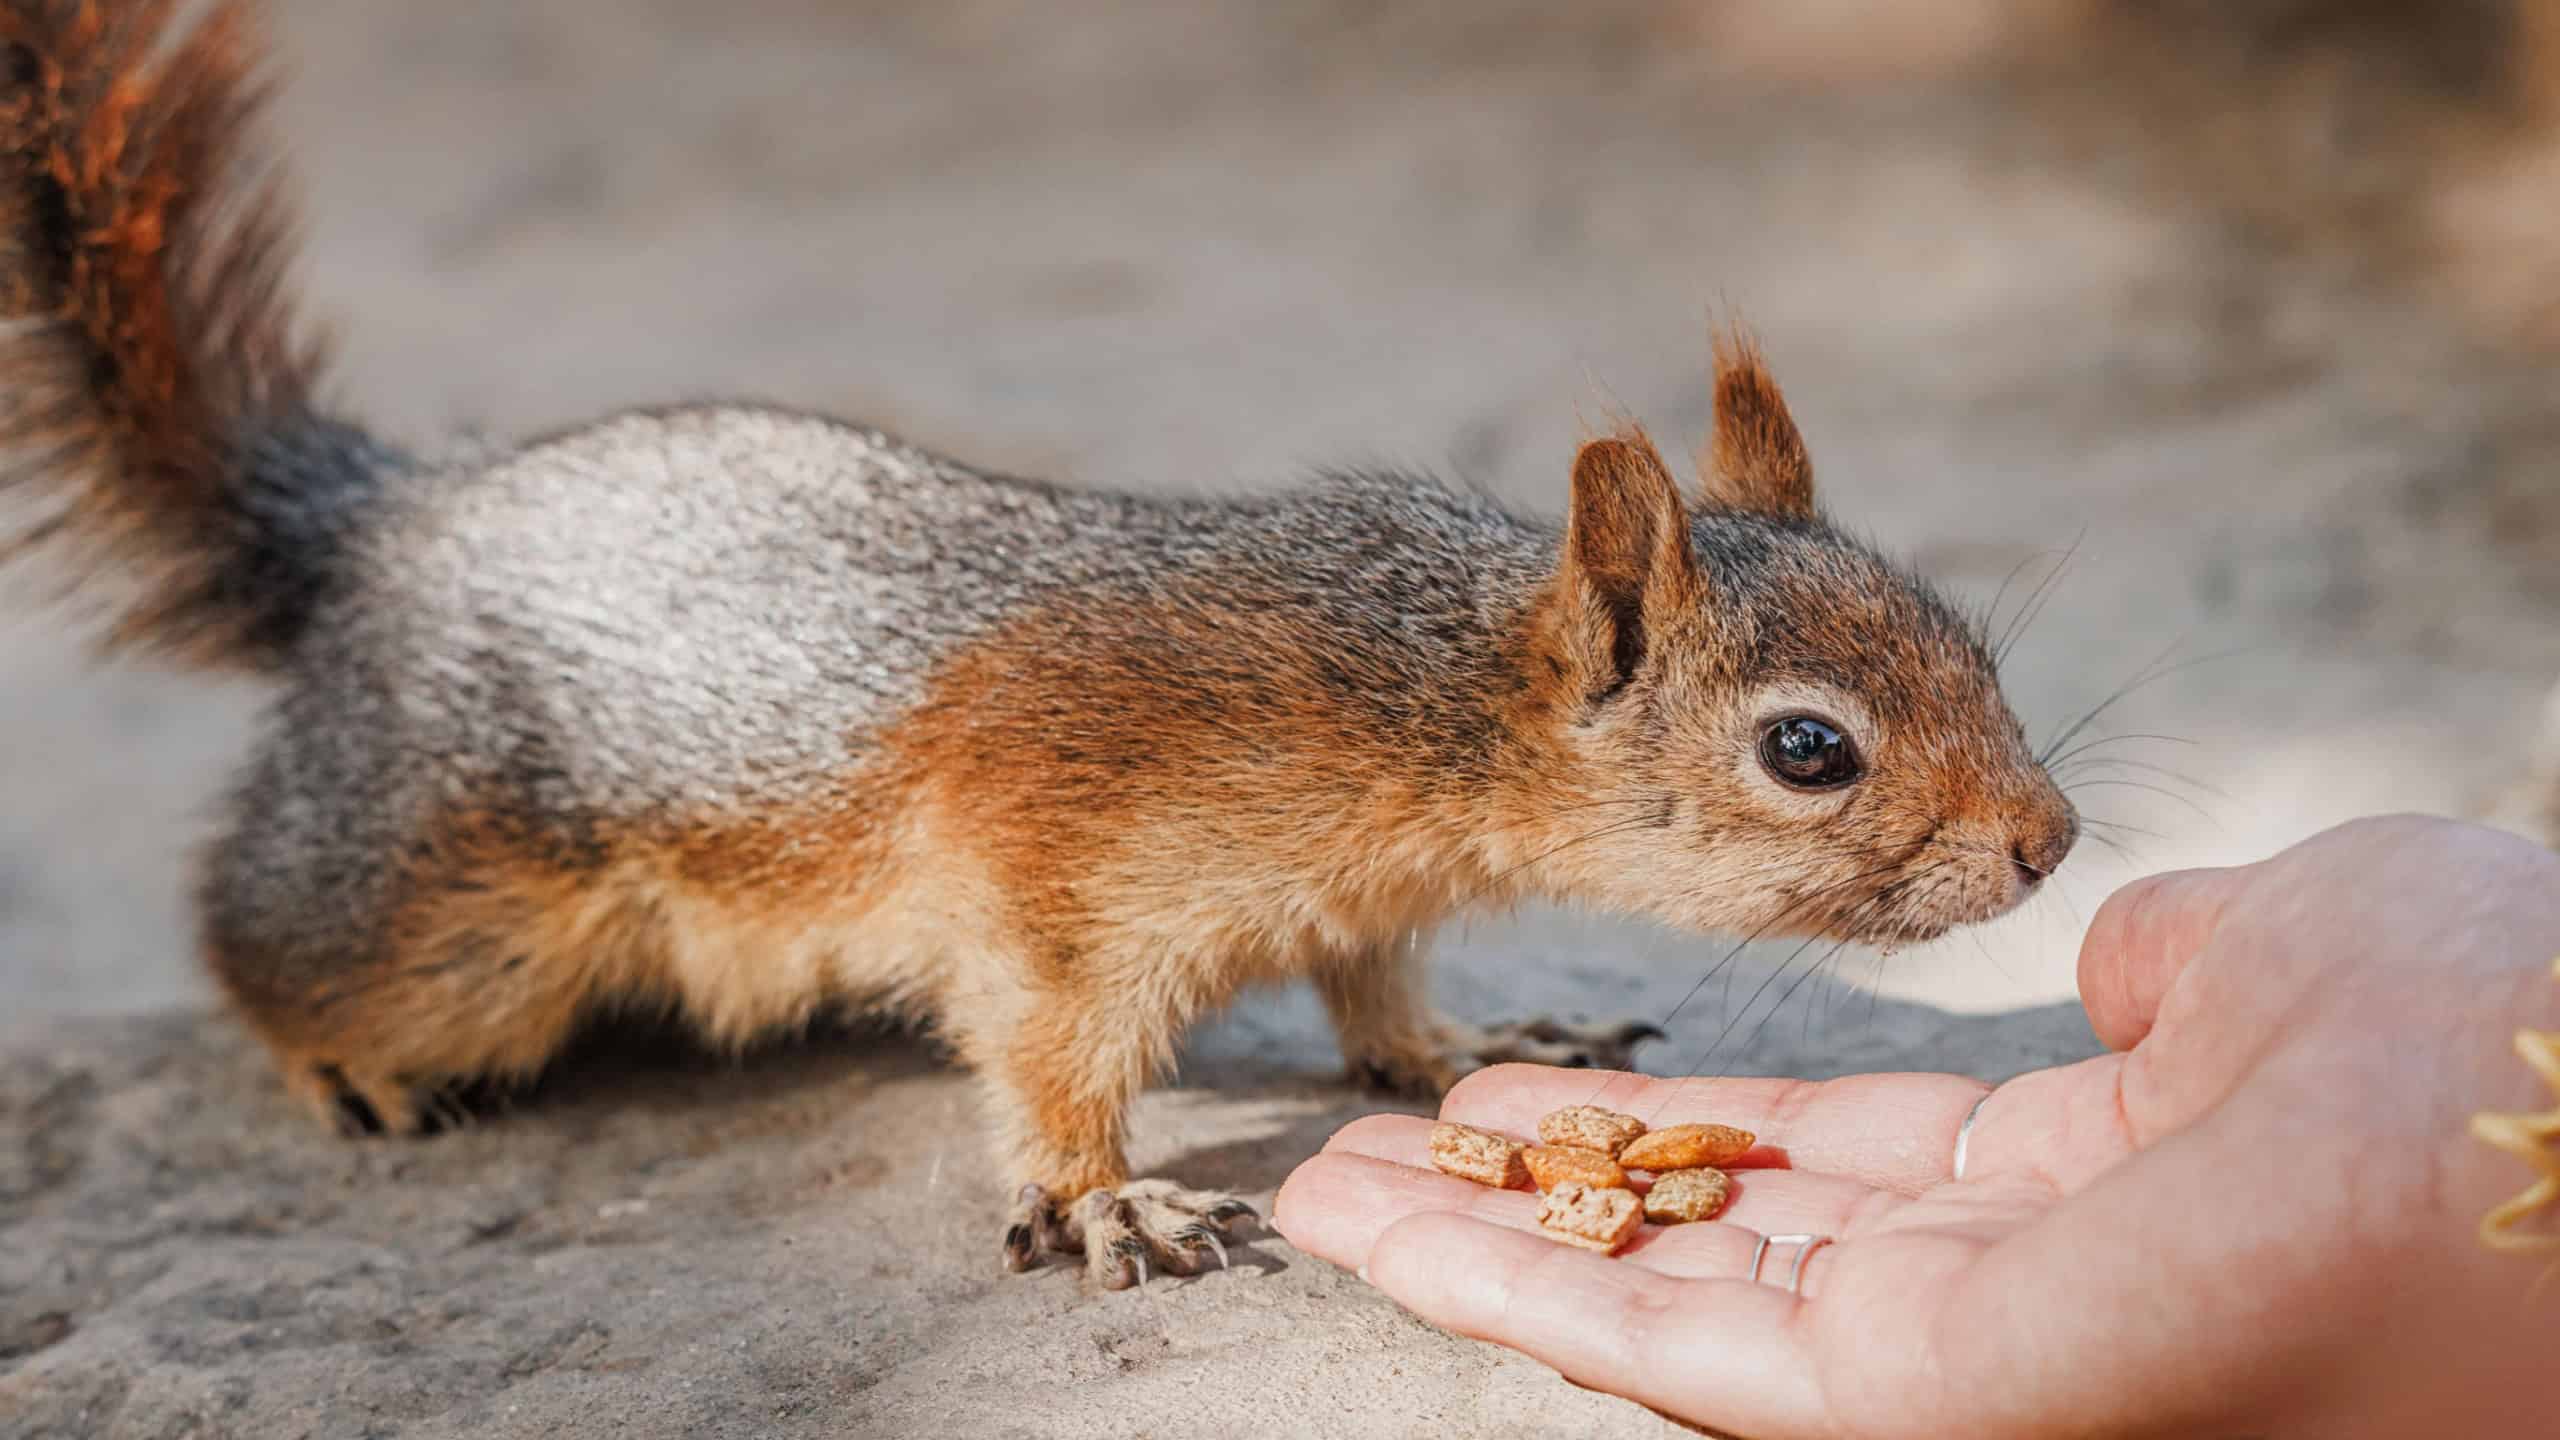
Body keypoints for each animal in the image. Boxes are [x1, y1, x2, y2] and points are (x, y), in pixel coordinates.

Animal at [0, 0, 2075, 1288]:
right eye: (1807, 748)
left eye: (1963, 638)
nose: (2052, 844)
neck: (1411, 694)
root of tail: (390, 520)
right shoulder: (1053, 868)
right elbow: (1053, 1056)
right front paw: (1106, 1207)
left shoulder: (1352, 896)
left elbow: (1375, 993)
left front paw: (1472, 1040)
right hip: (443, 909)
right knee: (263, 938)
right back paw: (340, 1071)